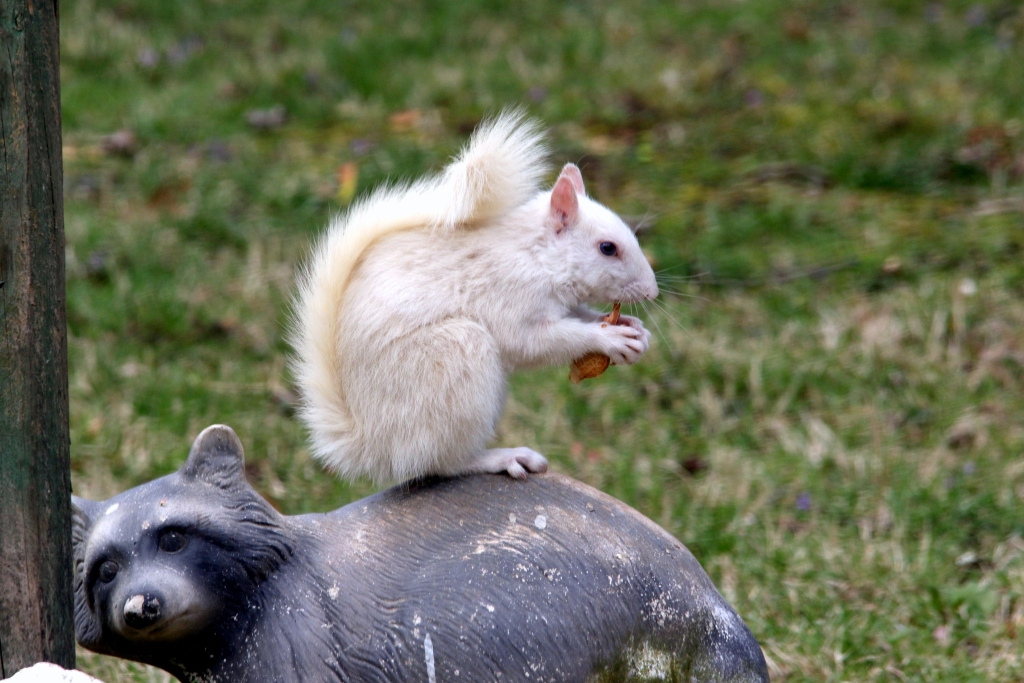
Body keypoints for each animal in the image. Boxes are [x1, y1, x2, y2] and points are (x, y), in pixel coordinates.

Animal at [290, 112, 655, 483]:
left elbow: (579, 316)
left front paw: (632, 328)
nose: (651, 290)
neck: (535, 255)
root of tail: (372, 445)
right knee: (441, 462)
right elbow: (534, 342)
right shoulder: (509, 297)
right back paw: (502, 457)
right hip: (454, 360)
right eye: (607, 248)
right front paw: (609, 339)